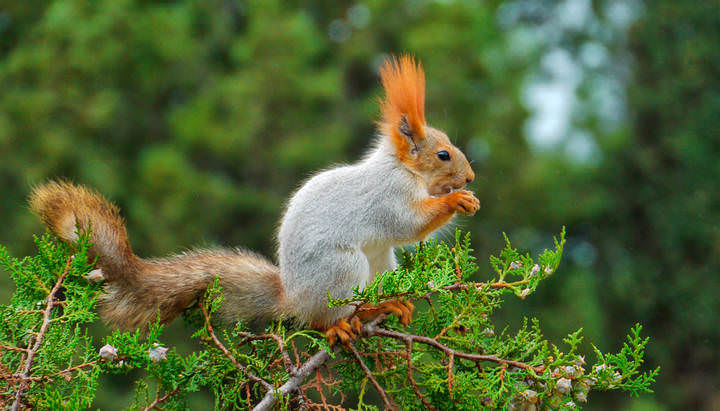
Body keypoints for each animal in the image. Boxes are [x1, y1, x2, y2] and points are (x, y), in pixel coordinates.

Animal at [29, 55, 479, 344]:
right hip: (340, 269)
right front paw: (458, 201)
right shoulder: (387, 197)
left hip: (379, 262)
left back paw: (387, 305)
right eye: (443, 155)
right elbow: (406, 224)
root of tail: (292, 297)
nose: (471, 176)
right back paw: (346, 321)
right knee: (322, 319)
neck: (404, 170)